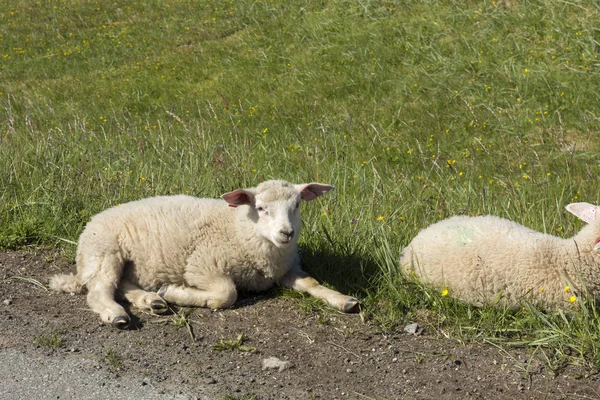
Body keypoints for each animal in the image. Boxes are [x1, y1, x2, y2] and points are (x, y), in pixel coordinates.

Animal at [50, 181, 356, 328]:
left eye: (297, 205)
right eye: (260, 208)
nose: (286, 233)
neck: (240, 228)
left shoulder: (287, 269)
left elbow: (312, 283)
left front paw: (343, 299)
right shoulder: (202, 265)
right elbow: (226, 294)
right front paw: (176, 292)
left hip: (124, 262)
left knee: (121, 284)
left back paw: (151, 300)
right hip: (104, 251)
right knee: (99, 292)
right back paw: (117, 314)